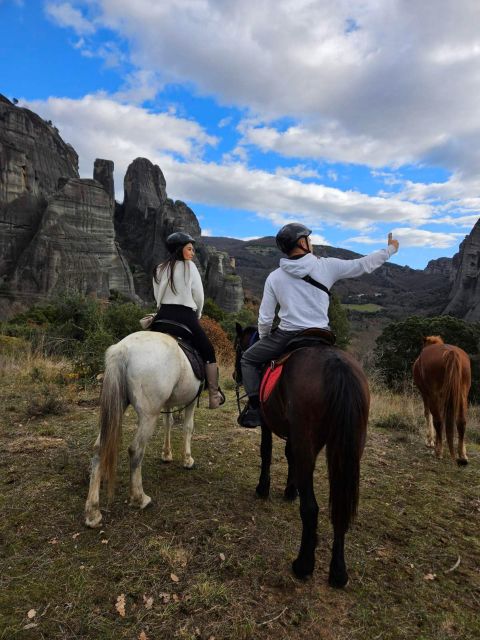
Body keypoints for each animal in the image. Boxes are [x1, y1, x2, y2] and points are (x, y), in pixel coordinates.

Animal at [85, 332, 202, 528]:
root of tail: (122, 349)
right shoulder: (191, 401)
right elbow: (188, 427)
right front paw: (187, 459)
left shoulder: (168, 404)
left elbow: (168, 423)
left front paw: (167, 454)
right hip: (148, 417)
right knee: (135, 450)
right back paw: (139, 498)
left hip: (118, 407)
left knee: (99, 448)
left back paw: (93, 512)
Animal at [234, 322, 370, 588]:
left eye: (237, 348)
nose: (235, 375)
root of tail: (337, 366)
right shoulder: (294, 434)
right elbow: (289, 457)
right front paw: (290, 490)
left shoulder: (269, 423)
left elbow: (266, 452)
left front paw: (263, 488)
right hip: (347, 449)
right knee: (340, 507)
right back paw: (338, 573)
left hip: (308, 441)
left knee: (311, 508)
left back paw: (303, 564)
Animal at [410, 336, 470, 464]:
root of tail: (451, 353)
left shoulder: (426, 394)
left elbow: (428, 414)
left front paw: (430, 440)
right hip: (462, 395)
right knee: (461, 421)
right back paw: (462, 455)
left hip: (433, 395)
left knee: (438, 420)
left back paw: (438, 451)